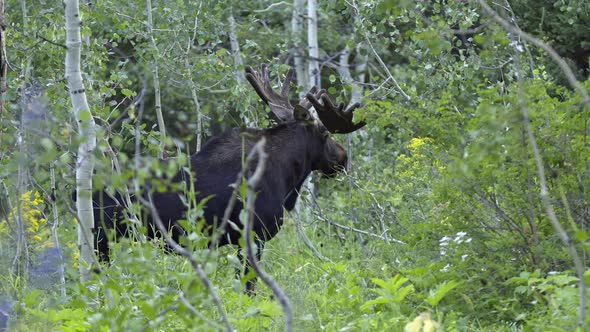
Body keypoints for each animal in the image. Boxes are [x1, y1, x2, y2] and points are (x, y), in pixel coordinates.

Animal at [91, 63, 366, 290]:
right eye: (325, 134)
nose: (343, 159)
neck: (289, 176)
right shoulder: (253, 235)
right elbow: (249, 287)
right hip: (102, 237)